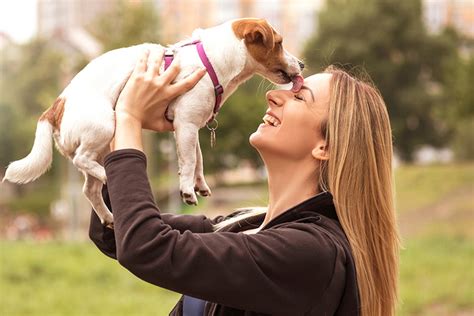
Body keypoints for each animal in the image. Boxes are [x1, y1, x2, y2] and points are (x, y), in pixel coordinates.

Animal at [2, 17, 304, 227]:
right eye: (279, 43)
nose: (301, 64)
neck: (213, 61)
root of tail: (55, 106)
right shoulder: (185, 124)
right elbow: (190, 161)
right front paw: (187, 190)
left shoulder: (190, 127)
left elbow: (197, 160)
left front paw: (199, 183)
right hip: (105, 126)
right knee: (82, 160)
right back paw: (105, 175)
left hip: (102, 145)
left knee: (89, 189)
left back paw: (108, 215)